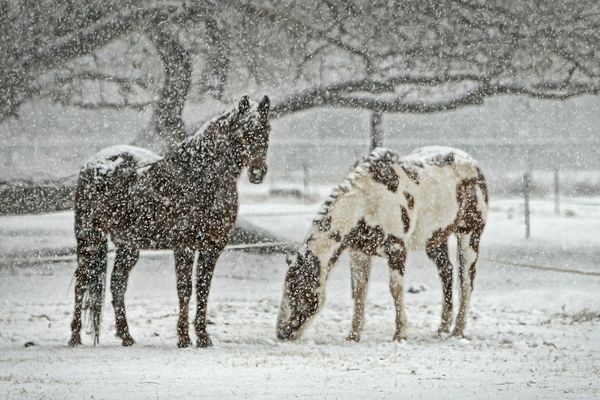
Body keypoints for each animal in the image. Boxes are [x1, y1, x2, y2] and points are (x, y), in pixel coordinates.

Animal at [68, 94, 272, 346]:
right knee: (82, 282)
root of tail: (93, 164)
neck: (200, 177)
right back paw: (75, 337)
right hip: (89, 238)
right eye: (244, 131)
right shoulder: (184, 246)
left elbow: (203, 289)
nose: (257, 173)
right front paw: (184, 337)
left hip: (128, 247)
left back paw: (126, 336)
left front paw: (203, 337)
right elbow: (185, 289)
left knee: (117, 284)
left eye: (267, 129)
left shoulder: (212, 247)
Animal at [276, 146, 488, 340]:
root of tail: (474, 164)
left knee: (466, 280)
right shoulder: (359, 252)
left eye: (298, 290)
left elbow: (395, 289)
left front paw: (400, 334)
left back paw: (458, 330)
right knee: (447, 273)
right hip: (435, 240)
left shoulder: (396, 249)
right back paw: (443, 328)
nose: (281, 333)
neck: (367, 200)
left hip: (470, 235)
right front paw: (353, 335)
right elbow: (360, 291)